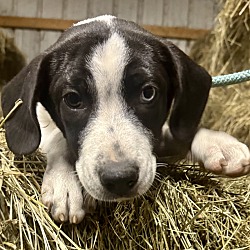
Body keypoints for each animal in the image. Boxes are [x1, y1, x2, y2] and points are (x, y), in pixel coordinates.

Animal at [1, 15, 250, 223]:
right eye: (72, 99)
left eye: (148, 93)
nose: (119, 178)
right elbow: (57, 138)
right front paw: (63, 183)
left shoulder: (156, 140)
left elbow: (180, 132)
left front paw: (218, 143)